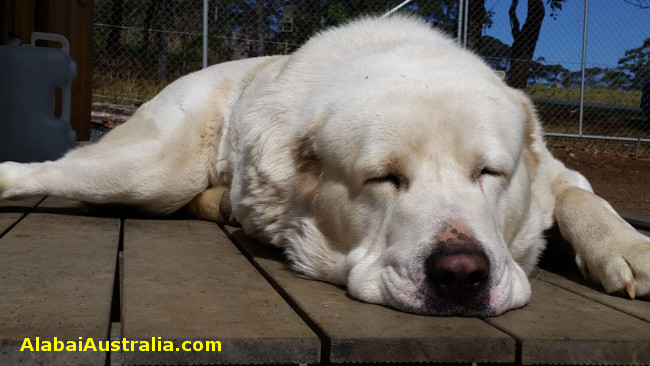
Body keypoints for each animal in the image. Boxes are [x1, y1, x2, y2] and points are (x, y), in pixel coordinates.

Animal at [1, 15, 648, 316]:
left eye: (489, 173)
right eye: (384, 178)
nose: (461, 273)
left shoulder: (553, 176)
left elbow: (581, 194)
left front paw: (627, 247)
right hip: (152, 171)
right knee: (49, 171)